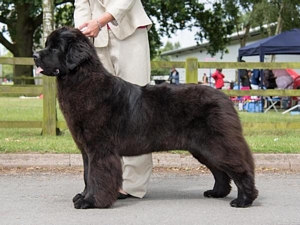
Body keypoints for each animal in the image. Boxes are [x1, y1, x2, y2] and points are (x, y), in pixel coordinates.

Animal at [32, 26, 258, 209]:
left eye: (55, 48)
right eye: (47, 45)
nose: (34, 55)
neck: (82, 79)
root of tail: (225, 98)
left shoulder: (100, 149)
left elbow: (97, 175)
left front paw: (91, 202)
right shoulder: (87, 150)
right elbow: (87, 175)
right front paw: (83, 196)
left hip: (216, 143)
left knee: (239, 167)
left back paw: (244, 200)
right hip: (202, 148)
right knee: (220, 171)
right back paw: (217, 192)